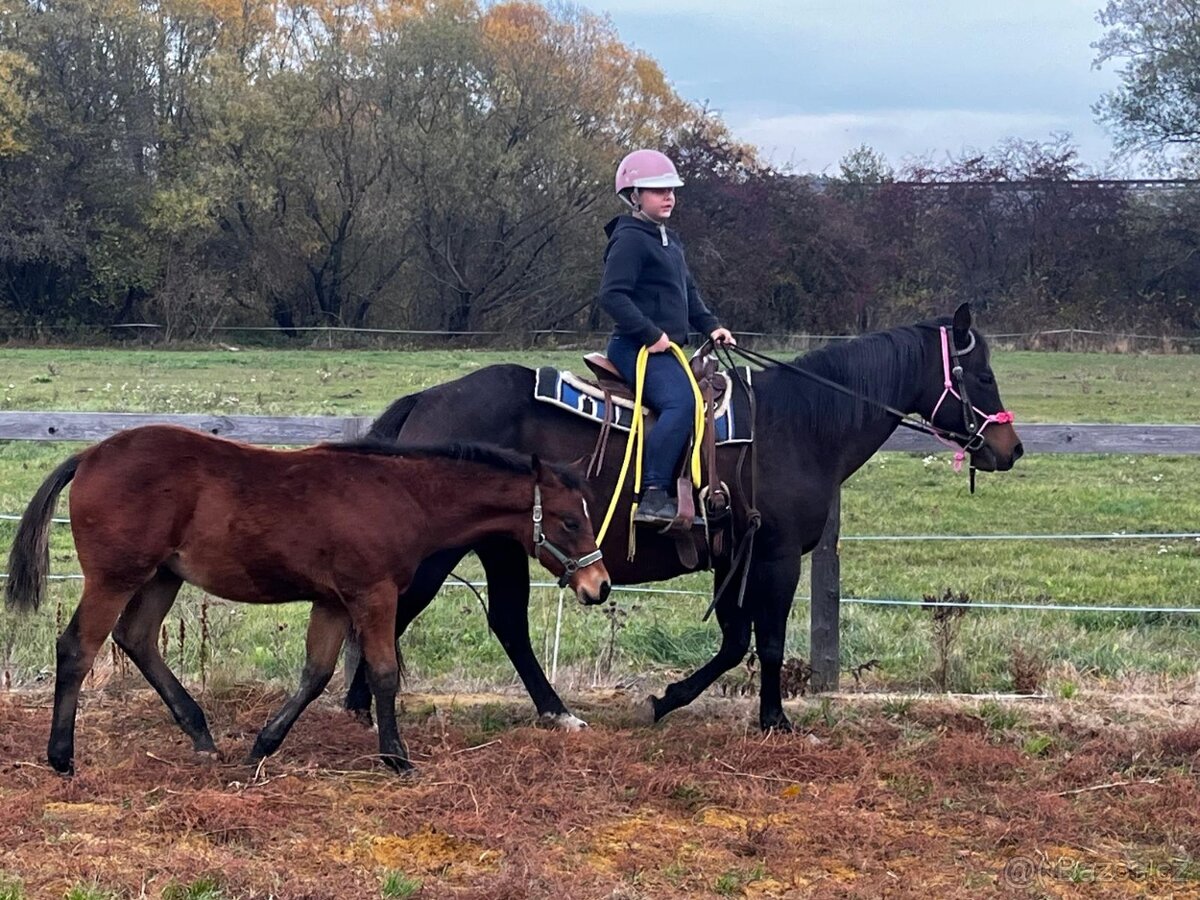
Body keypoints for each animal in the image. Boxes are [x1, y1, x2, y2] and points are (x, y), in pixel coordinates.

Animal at [4, 425, 610, 774]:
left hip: (160, 577)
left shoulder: (333, 602)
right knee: (76, 648)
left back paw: (202, 736)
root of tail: (88, 454)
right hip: (115, 577)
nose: (598, 585)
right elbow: (382, 672)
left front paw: (264, 745)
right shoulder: (372, 593)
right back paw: (61, 757)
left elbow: (316, 673)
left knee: (137, 639)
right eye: (570, 519)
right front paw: (397, 758)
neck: (402, 494)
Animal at [339, 303, 1022, 733]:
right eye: (982, 374)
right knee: (399, 608)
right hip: (445, 550)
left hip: (504, 547)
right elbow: (768, 641)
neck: (797, 425)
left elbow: (736, 641)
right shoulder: (774, 557)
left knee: (504, 622)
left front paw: (666, 701)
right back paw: (360, 704)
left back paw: (553, 710)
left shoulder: (733, 558)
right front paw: (775, 720)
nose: (1009, 449)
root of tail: (426, 401)